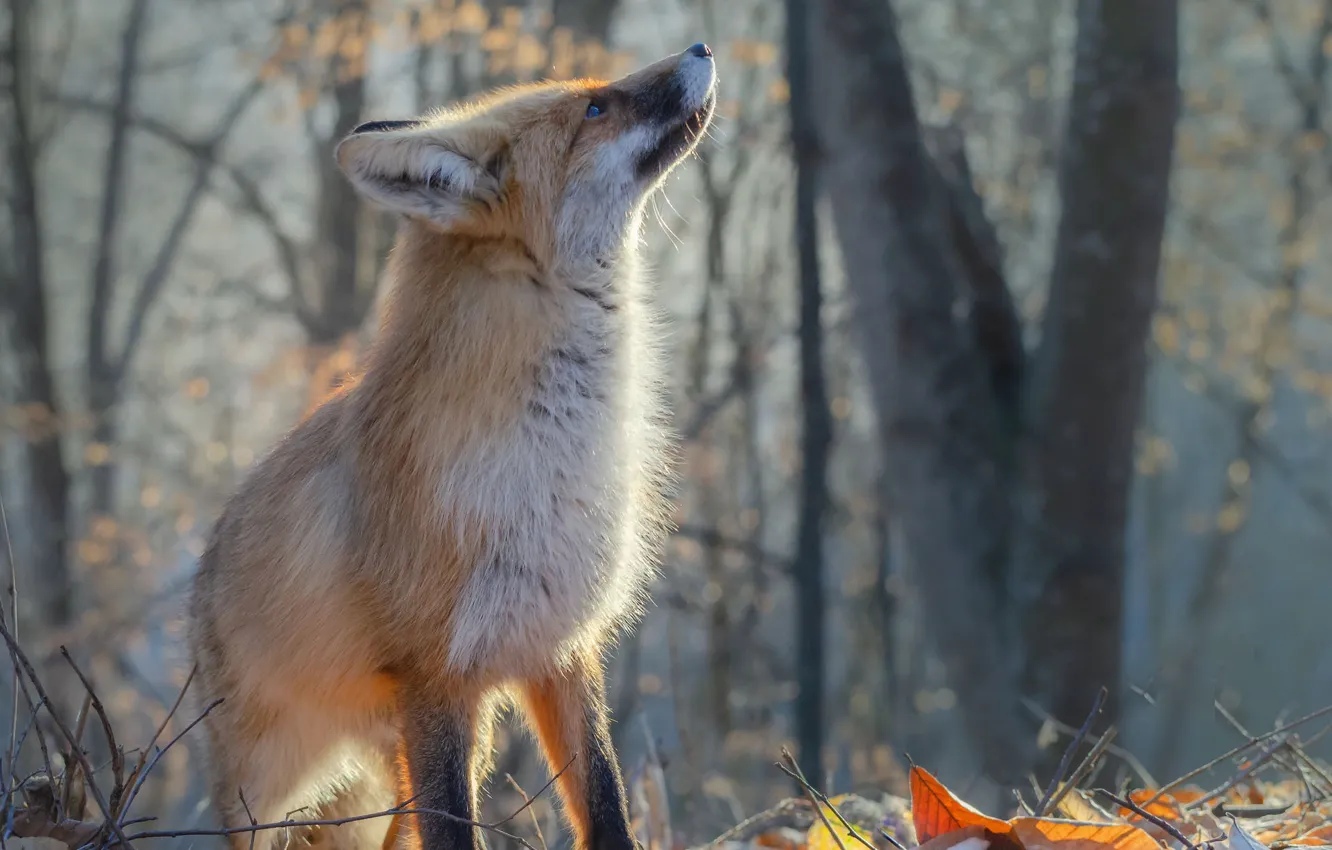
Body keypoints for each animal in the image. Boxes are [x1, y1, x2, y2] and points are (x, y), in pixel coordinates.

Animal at [186, 44, 717, 850]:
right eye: (594, 109)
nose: (701, 49)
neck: (552, 464)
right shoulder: (434, 678)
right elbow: (456, 829)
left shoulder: (559, 649)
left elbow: (605, 802)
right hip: (268, 790)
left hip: (410, 764)